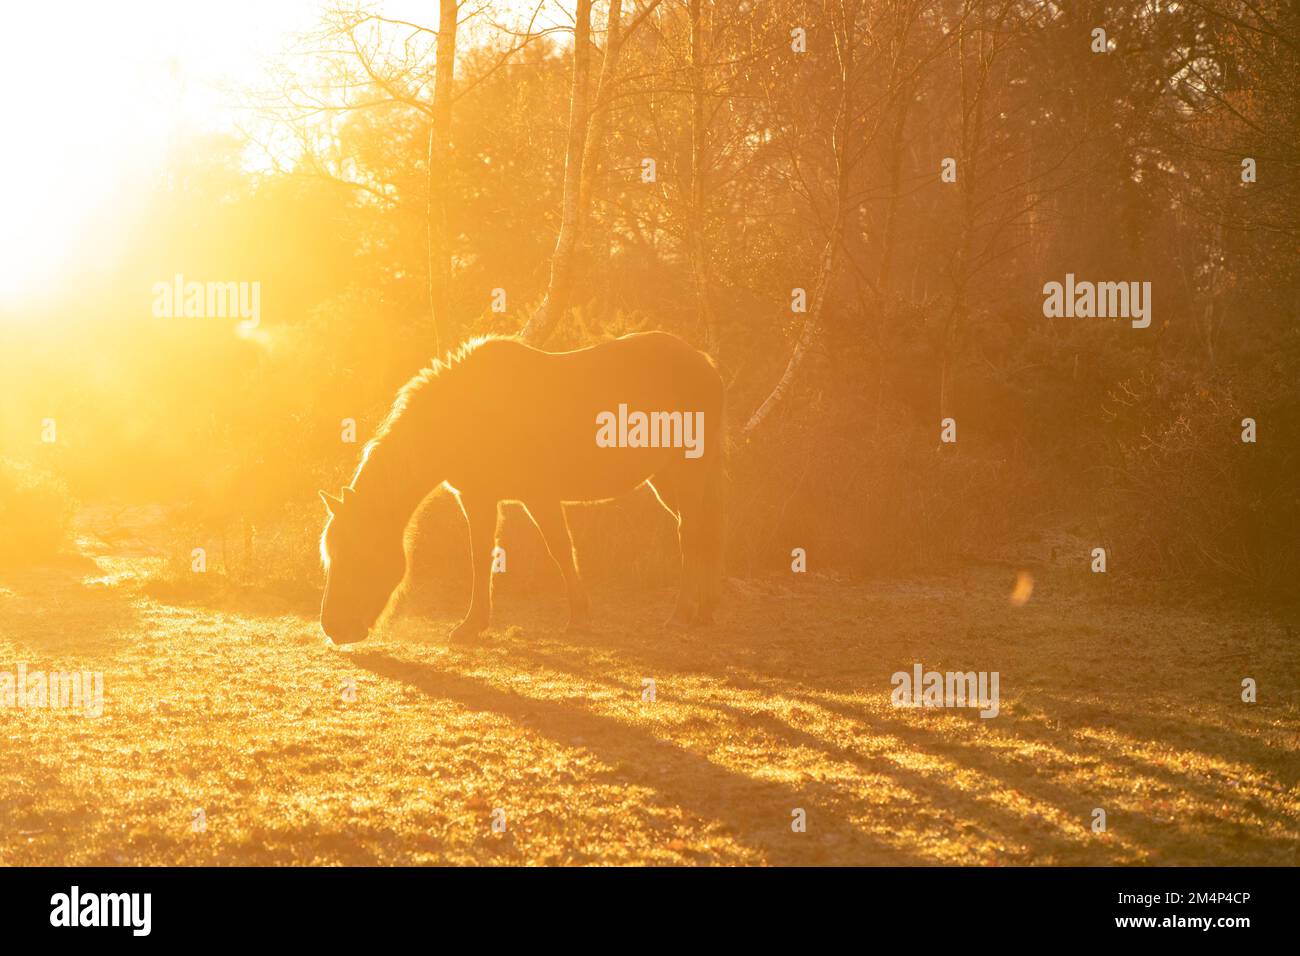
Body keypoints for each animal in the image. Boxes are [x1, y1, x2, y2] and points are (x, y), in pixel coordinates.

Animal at [318, 332, 728, 647]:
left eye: (355, 555)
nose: (333, 628)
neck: (464, 413)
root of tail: (706, 363)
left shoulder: (537, 496)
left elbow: (558, 549)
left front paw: (578, 617)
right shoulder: (479, 498)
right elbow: (483, 555)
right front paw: (475, 624)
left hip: (687, 473)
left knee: (691, 534)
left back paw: (681, 614)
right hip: (666, 480)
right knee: (705, 534)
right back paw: (705, 611)